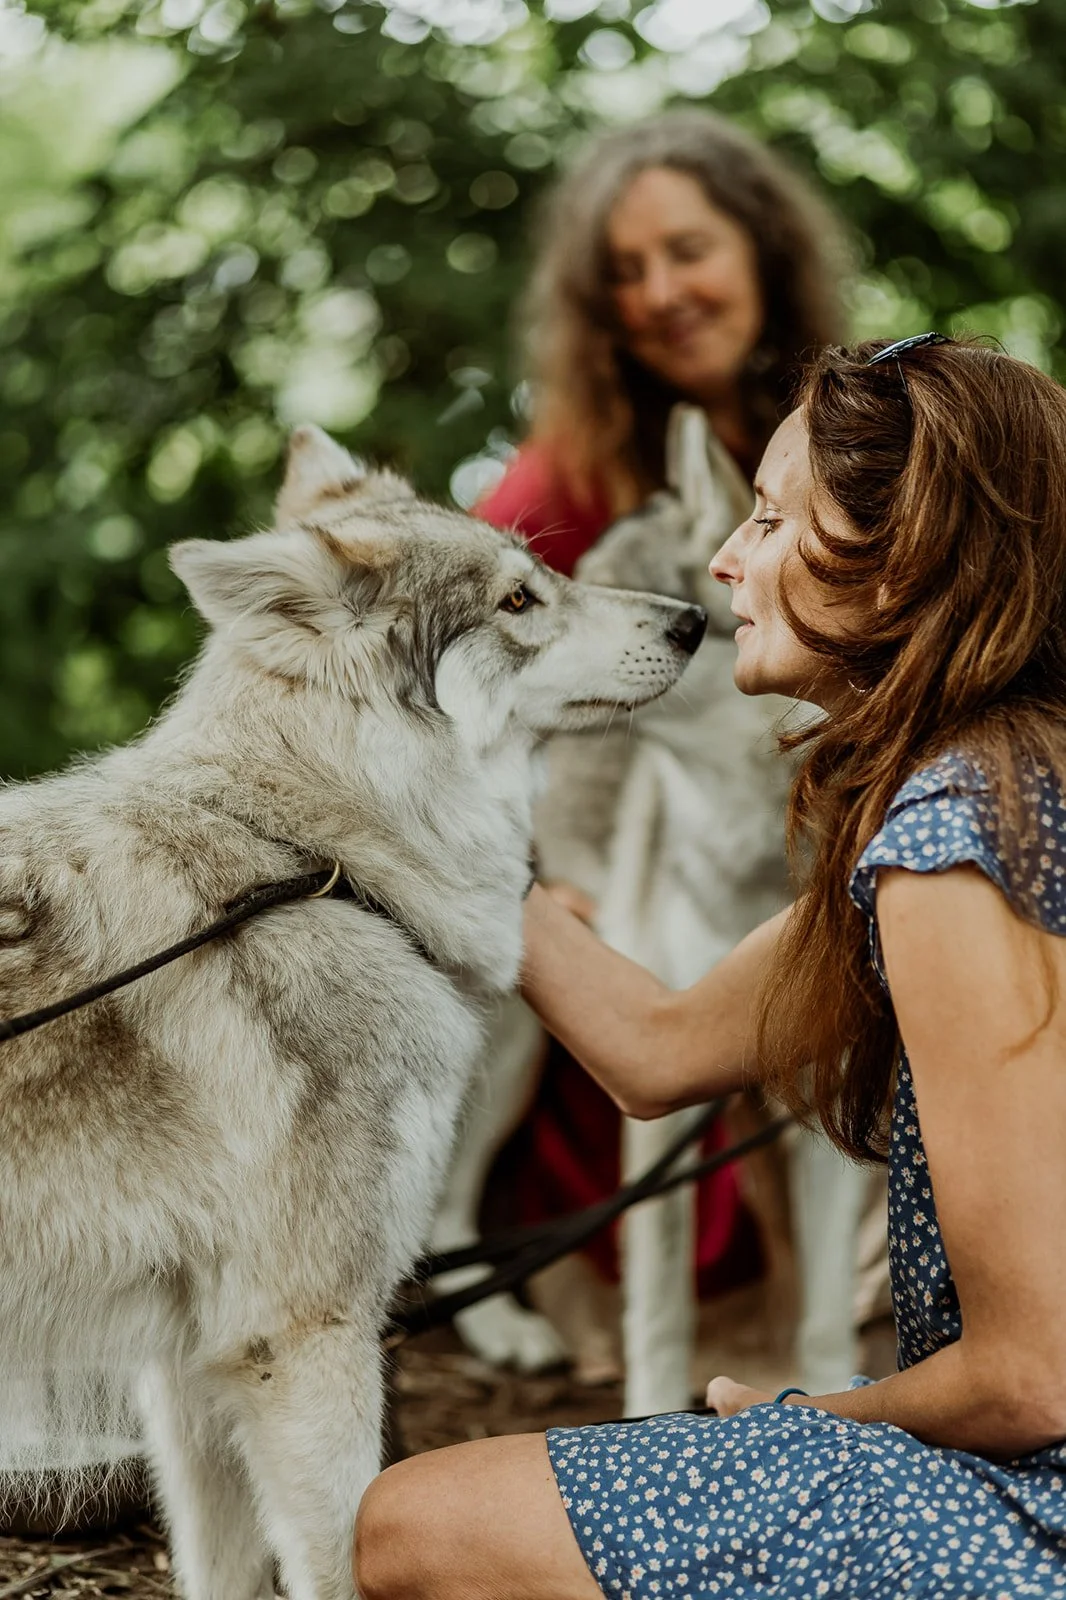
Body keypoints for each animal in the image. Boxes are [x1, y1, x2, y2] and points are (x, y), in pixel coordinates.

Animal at [0, 425, 706, 1600]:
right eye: (520, 599)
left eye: (543, 573)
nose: (694, 618)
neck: (319, 863)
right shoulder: (307, 1343)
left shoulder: (194, 1368)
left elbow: (220, 1578)